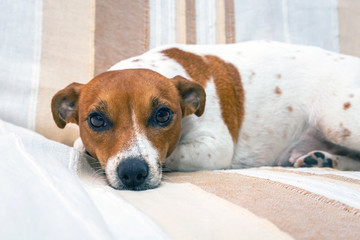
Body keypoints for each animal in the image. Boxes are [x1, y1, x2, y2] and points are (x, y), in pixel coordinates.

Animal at [50, 41, 360, 191]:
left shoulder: (215, 146)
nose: (133, 172)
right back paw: (322, 159)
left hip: (337, 122)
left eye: (163, 115)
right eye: (96, 120)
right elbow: (82, 145)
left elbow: (174, 154)